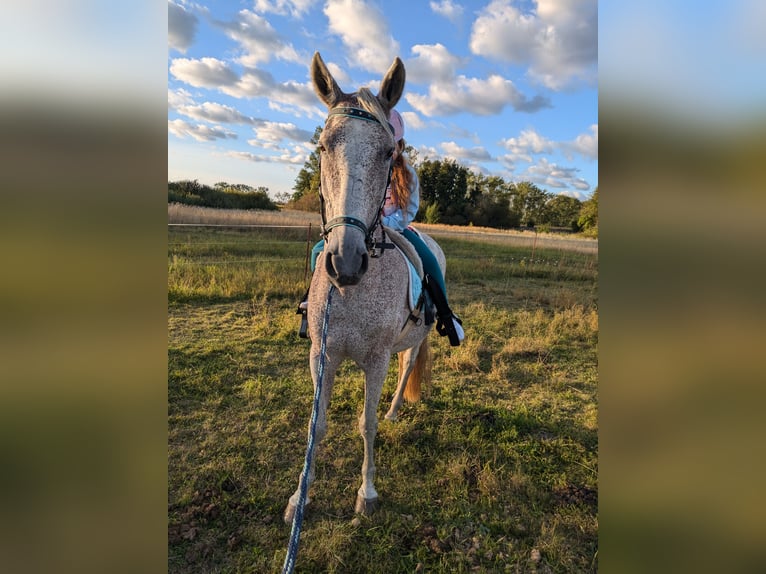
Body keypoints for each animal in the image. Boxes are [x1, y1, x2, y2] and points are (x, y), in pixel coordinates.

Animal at [284, 51, 448, 524]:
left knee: (408, 366)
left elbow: (366, 423)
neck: (352, 295)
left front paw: (367, 493)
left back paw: (394, 411)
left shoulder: (375, 360)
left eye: (388, 152)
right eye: (323, 146)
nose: (346, 262)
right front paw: (299, 498)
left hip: (417, 338)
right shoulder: (322, 356)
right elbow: (316, 425)